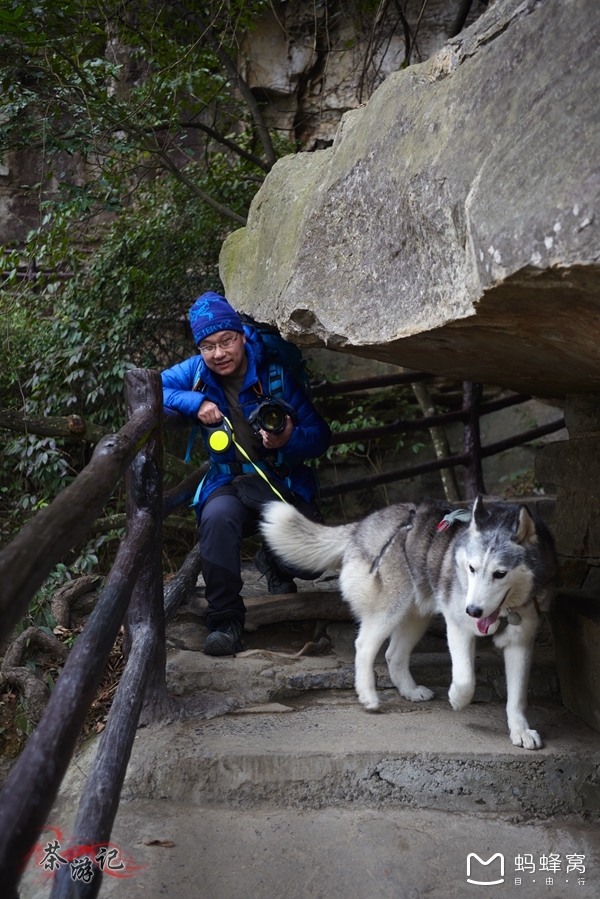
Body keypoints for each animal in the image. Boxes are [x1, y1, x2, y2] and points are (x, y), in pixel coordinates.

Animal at [262, 500, 556, 752]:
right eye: (472, 569)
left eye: (500, 574)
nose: (472, 610)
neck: (506, 611)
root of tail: (365, 523)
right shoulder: (457, 625)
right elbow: (465, 679)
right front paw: (457, 699)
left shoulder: (520, 641)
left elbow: (517, 696)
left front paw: (520, 731)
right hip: (389, 610)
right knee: (364, 646)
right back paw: (368, 697)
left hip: (415, 617)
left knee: (393, 654)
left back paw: (410, 691)